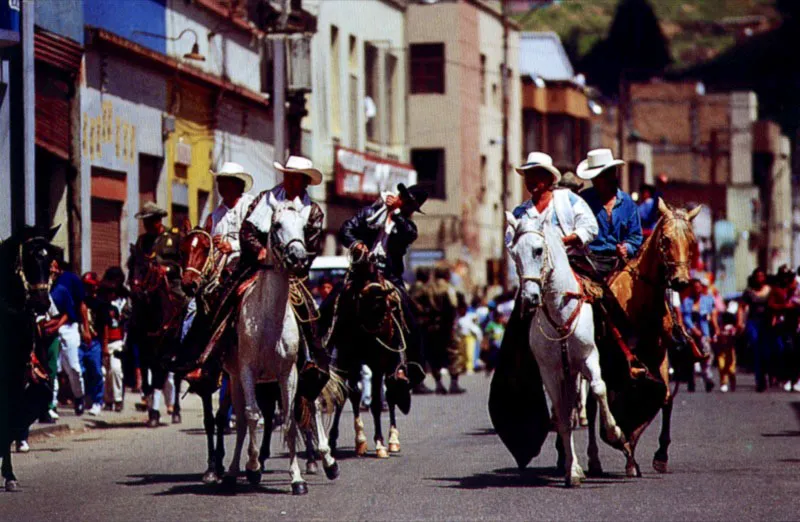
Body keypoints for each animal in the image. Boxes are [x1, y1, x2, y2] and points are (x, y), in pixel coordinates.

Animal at [223, 193, 340, 494]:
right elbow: (252, 417)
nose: (297, 257)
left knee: (312, 403)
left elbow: (288, 421)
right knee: (244, 420)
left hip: (301, 372)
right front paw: (252, 466)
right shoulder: (247, 372)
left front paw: (297, 479)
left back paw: (328, 460)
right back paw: (233, 471)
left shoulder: (288, 372)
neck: (268, 321)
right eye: (275, 225)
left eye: (304, 227)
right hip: (238, 379)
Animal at [506, 209, 624, 486]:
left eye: (538, 250)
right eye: (513, 253)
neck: (560, 312)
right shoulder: (550, 370)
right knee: (569, 410)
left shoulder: (589, 357)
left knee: (589, 405)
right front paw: (572, 471)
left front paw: (615, 433)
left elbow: (599, 388)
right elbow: (561, 414)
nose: (530, 298)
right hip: (568, 374)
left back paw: (598, 460)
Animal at [580, 198, 700, 476]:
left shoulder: (659, 356)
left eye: (691, 240)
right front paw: (626, 448)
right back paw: (593, 459)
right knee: (590, 406)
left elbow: (665, 398)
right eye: (665, 239)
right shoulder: (619, 361)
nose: (680, 281)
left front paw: (658, 455)